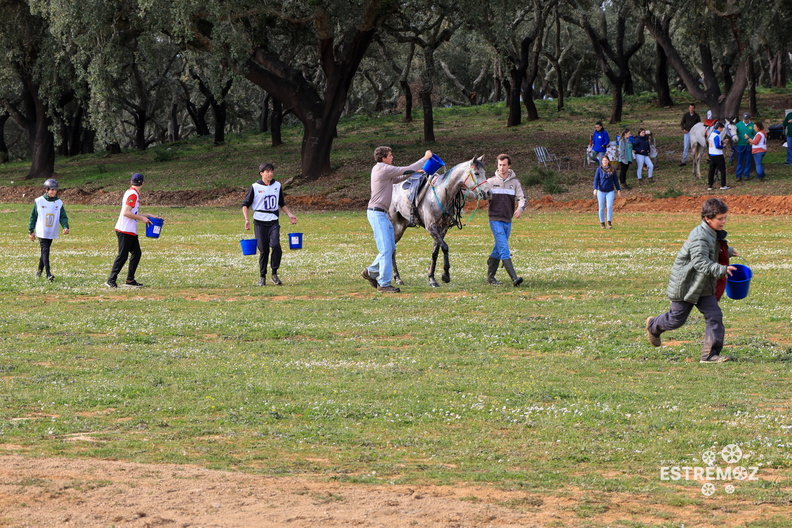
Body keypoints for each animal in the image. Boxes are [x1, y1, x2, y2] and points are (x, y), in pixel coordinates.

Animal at [388, 156, 492, 286]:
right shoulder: (431, 227)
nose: (488, 193)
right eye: (477, 173)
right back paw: (397, 278)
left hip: (401, 226)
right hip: (395, 226)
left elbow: (435, 252)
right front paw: (445, 275)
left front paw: (431, 277)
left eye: (484, 173)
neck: (442, 194)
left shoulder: (442, 228)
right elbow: (445, 247)